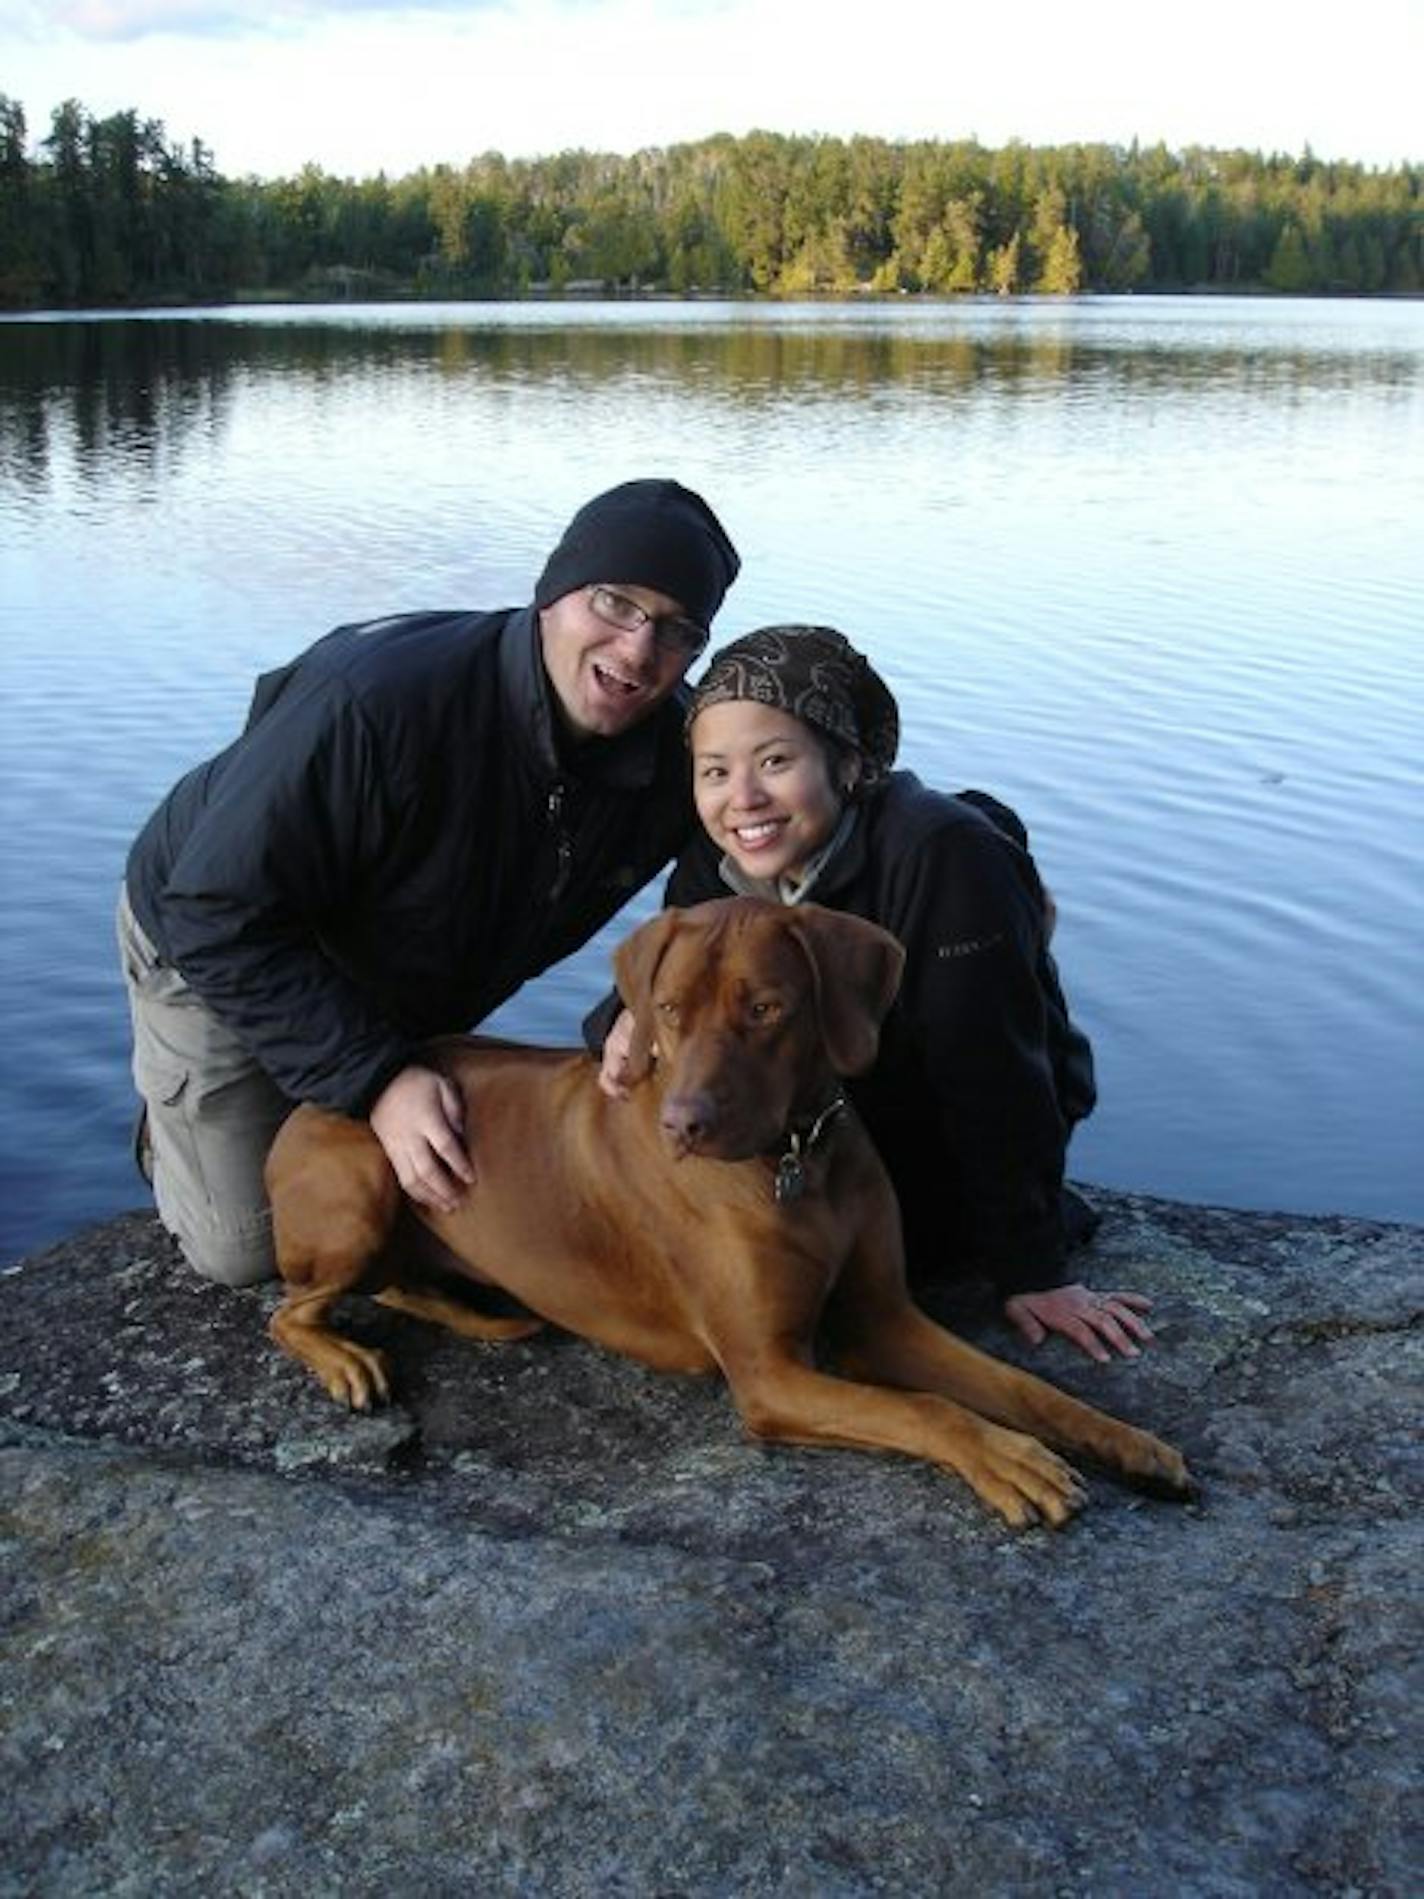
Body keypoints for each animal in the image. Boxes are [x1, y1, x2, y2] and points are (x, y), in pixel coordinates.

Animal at [265, 896, 1192, 1534]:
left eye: (766, 1007)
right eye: (671, 1009)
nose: (685, 1126)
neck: (797, 1158)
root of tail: (302, 1107)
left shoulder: (883, 1315)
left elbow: (1019, 1385)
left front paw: (1123, 1439)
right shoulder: (769, 1374)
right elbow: (927, 1409)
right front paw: (1011, 1459)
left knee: (389, 1286)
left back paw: (479, 1312)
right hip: (363, 1185)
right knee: (293, 1308)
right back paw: (349, 1359)